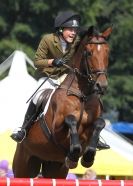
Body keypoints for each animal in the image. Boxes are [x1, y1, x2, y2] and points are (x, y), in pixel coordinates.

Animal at [12, 25, 112, 178]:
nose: (102, 86)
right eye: (89, 53)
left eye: (107, 52)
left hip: (55, 168)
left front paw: (88, 157)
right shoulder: (56, 128)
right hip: (22, 166)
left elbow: (100, 123)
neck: (82, 96)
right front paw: (74, 154)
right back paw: (20, 134)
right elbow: (70, 120)